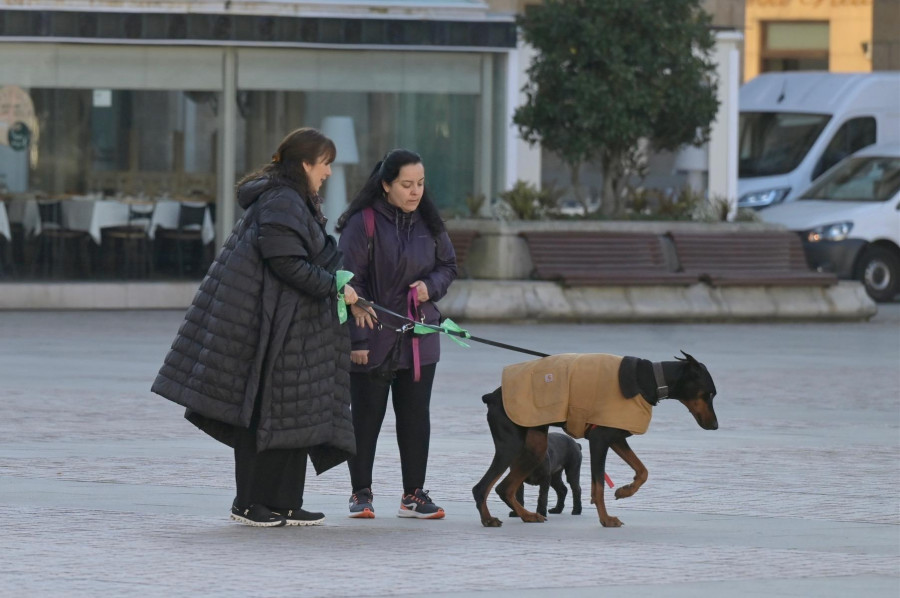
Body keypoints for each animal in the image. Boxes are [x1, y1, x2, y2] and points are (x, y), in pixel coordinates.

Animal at [472, 354, 716, 528]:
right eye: (709, 394)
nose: (715, 426)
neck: (649, 380)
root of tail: (491, 397)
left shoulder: (616, 438)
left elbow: (643, 470)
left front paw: (625, 490)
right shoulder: (599, 439)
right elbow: (598, 486)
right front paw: (606, 519)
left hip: (535, 446)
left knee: (505, 487)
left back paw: (524, 515)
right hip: (512, 446)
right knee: (486, 487)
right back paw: (490, 519)